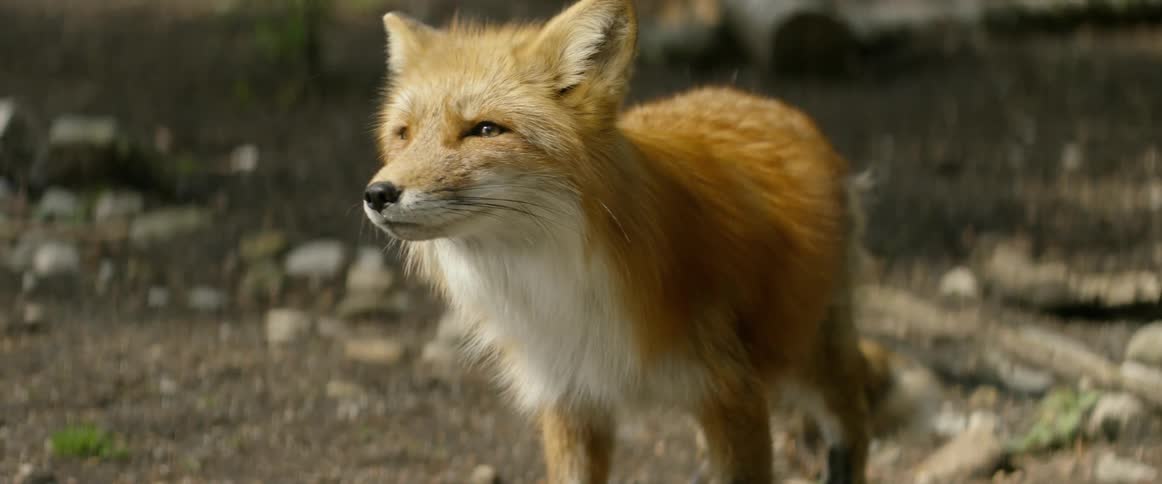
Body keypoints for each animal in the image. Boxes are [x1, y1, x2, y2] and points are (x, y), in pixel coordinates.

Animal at [361, 0, 929, 482]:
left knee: (853, 425)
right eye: (403, 134)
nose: (377, 194)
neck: (554, 285)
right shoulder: (573, 401)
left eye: (484, 130)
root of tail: (757, 98)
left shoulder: (732, 393)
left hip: (806, 352)